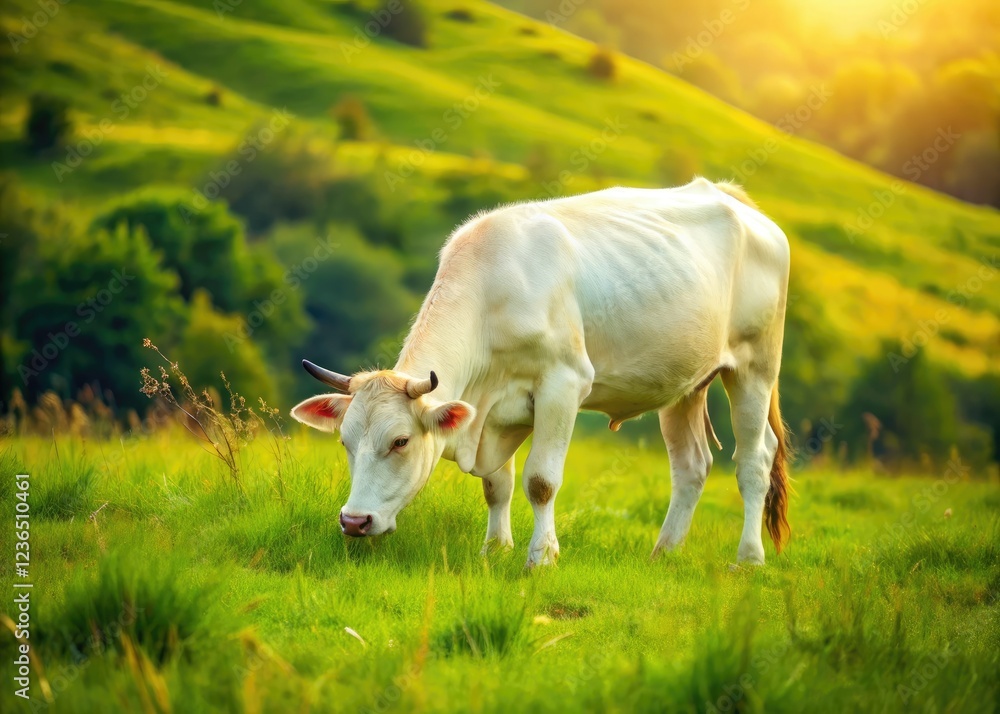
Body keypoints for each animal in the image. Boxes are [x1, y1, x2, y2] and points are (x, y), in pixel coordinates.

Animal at [291, 178, 791, 567]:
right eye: (345, 441)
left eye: (400, 441)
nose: (354, 520)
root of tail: (735, 200)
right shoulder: (491, 408)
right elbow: (498, 486)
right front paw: (495, 549)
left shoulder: (563, 385)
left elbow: (541, 481)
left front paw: (542, 556)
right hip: (684, 383)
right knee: (691, 465)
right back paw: (664, 552)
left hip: (754, 365)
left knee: (754, 459)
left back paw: (749, 557)